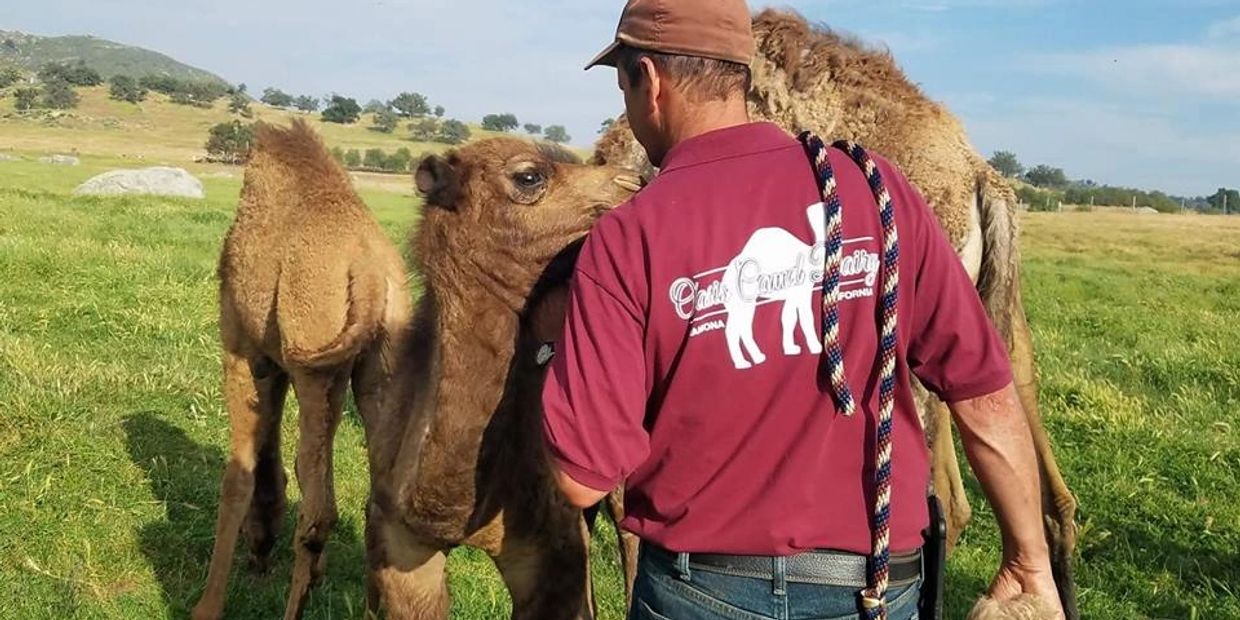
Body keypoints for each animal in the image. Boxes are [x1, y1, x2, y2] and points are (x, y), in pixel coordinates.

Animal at [194, 119, 412, 620]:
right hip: (381, 366)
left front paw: (208, 604)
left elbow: (239, 476)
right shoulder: (273, 364)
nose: (258, 554)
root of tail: (372, 277)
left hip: (315, 364)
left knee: (318, 512)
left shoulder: (242, 349)